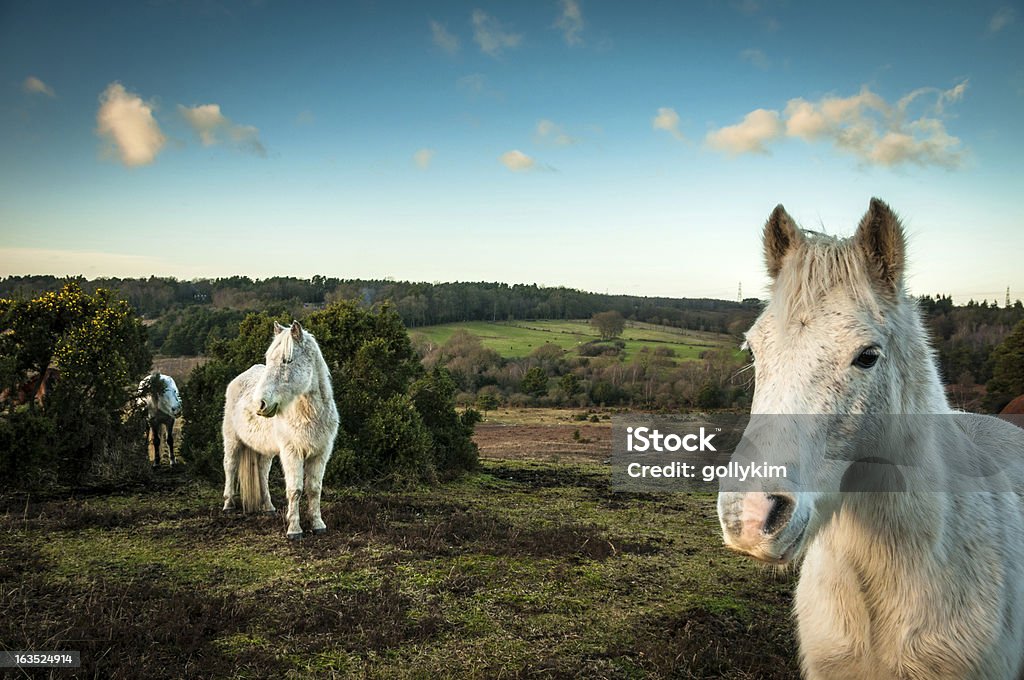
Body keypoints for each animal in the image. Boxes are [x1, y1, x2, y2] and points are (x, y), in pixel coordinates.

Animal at [221, 321, 339, 540]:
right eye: (268, 360)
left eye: (287, 360)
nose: (260, 404)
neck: (309, 414)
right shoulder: (292, 453)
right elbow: (295, 490)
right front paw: (294, 530)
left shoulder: (321, 454)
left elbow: (314, 489)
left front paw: (318, 524)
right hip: (232, 440)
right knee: (230, 467)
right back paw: (228, 505)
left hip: (265, 450)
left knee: (262, 472)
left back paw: (268, 507)